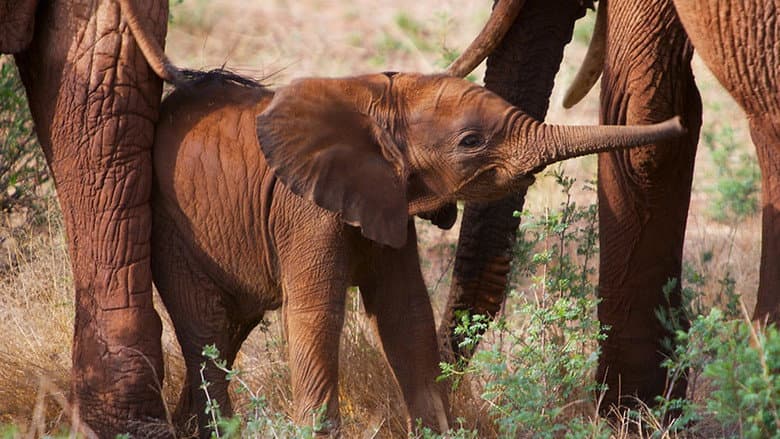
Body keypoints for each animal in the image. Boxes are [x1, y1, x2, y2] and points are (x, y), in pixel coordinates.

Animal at [149, 67, 683, 434]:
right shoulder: (304, 210)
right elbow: (318, 315)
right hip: (176, 234)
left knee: (228, 333)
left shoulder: (384, 196)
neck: (371, 97)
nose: (678, 123)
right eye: (471, 141)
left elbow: (406, 313)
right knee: (207, 330)